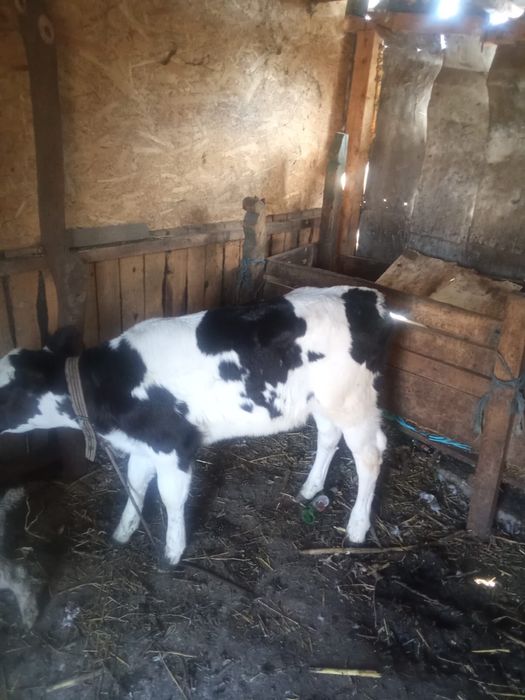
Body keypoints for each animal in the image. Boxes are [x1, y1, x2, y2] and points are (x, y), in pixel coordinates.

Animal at [0, 286, 392, 565]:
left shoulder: (174, 443)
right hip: (323, 402)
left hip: (352, 401)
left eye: (5, 393)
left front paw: (172, 552)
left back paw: (357, 528)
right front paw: (123, 533)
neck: (111, 384)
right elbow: (135, 484)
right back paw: (310, 489)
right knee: (328, 437)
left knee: (370, 457)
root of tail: (362, 294)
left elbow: (170, 497)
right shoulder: (145, 444)